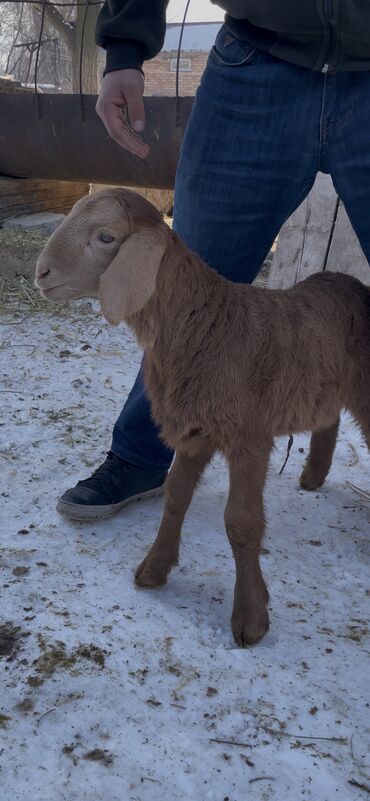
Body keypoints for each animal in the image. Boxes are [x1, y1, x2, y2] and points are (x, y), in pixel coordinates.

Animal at [34, 186, 370, 644]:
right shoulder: (195, 431)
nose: (41, 273)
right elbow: (176, 498)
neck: (202, 323)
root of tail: (349, 281)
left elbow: (241, 521)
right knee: (328, 416)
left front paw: (250, 618)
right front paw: (154, 569)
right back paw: (313, 476)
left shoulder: (249, 437)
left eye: (105, 237)